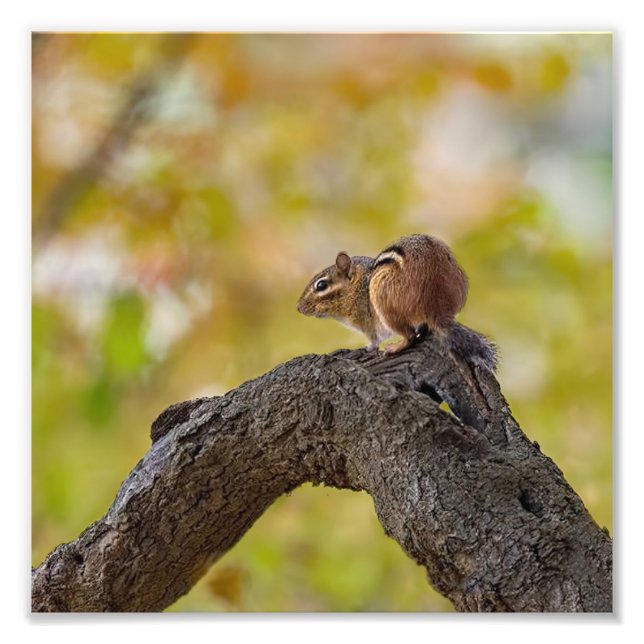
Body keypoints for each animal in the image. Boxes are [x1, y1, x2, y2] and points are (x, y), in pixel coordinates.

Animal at [297, 233, 498, 371]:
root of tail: (436, 309)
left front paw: (368, 348)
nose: (299, 308)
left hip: (384, 302)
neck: (358, 287)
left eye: (321, 285)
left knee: (410, 336)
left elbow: (374, 340)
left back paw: (394, 348)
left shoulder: (368, 321)